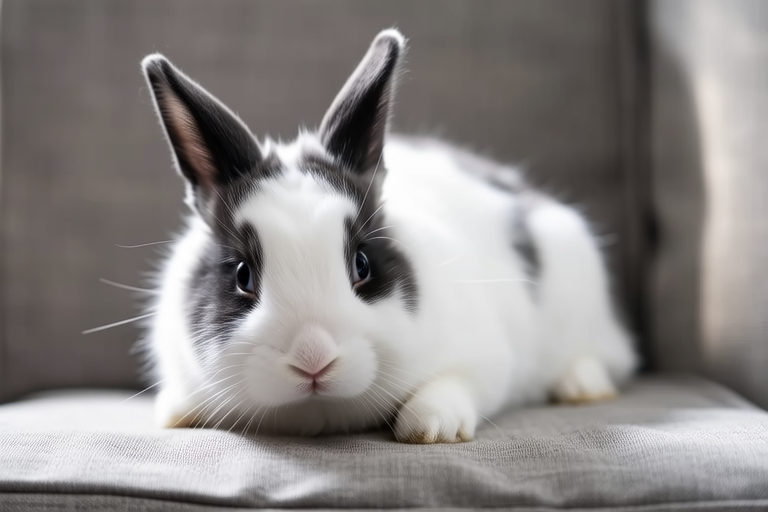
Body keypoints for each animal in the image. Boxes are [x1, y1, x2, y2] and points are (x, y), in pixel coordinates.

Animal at [140, 28, 637, 444]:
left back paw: (581, 386)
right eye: (243, 276)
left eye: (362, 264)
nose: (313, 359)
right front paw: (174, 413)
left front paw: (431, 427)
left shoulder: (484, 359)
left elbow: (456, 383)